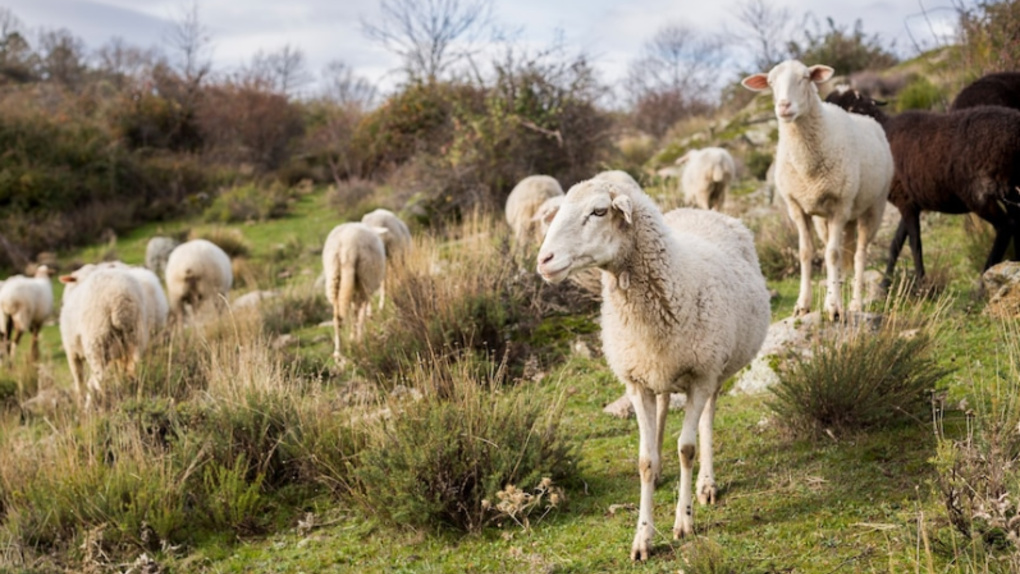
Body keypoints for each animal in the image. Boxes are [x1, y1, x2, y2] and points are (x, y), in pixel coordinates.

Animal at [58, 263, 147, 405]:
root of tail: (119, 298)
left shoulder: (71, 351)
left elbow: (78, 378)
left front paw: (80, 400)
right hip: (135, 337)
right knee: (133, 369)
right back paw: (133, 394)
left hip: (96, 339)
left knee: (97, 379)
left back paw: (91, 404)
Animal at [320, 222, 387, 360]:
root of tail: (347, 247)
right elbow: (359, 315)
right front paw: (355, 337)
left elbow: (353, 313)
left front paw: (351, 336)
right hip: (365, 277)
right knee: (360, 315)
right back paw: (360, 343)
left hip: (334, 275)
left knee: (338, 317)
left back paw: (338, 352)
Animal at [538, 176, 767, 562]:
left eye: (599, 211)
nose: (544, 260)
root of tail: (697, 210)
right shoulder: (636, 381)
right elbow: (644, 460)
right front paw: (643, 536)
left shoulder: (701, 375)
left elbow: (686, 449)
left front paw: (684, 521)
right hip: (660, 370)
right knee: (662, 405)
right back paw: (662, 470)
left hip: (716, 370)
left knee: (707, 418)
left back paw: (706, 483)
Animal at [742, 60, 893, 322]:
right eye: (770, 82)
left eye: (805, 77)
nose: (784, 106)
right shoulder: (797, 207)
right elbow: (806, 253)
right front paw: (803, 305)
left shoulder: (840, 205)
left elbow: (832, 255)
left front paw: (833, 307)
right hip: (830, 219)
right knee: (842, 251)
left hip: (873, 208)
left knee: (859, 254)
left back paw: (855, 303)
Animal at [824, 87, 1020, 283]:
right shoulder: (910, 202)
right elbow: (896, 243)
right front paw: (885, 284)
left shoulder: (905, 201)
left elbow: (914, 243)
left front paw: (920, 282)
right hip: (1010, 190)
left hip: (980, 194)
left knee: (1006, 226)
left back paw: (983, 277)